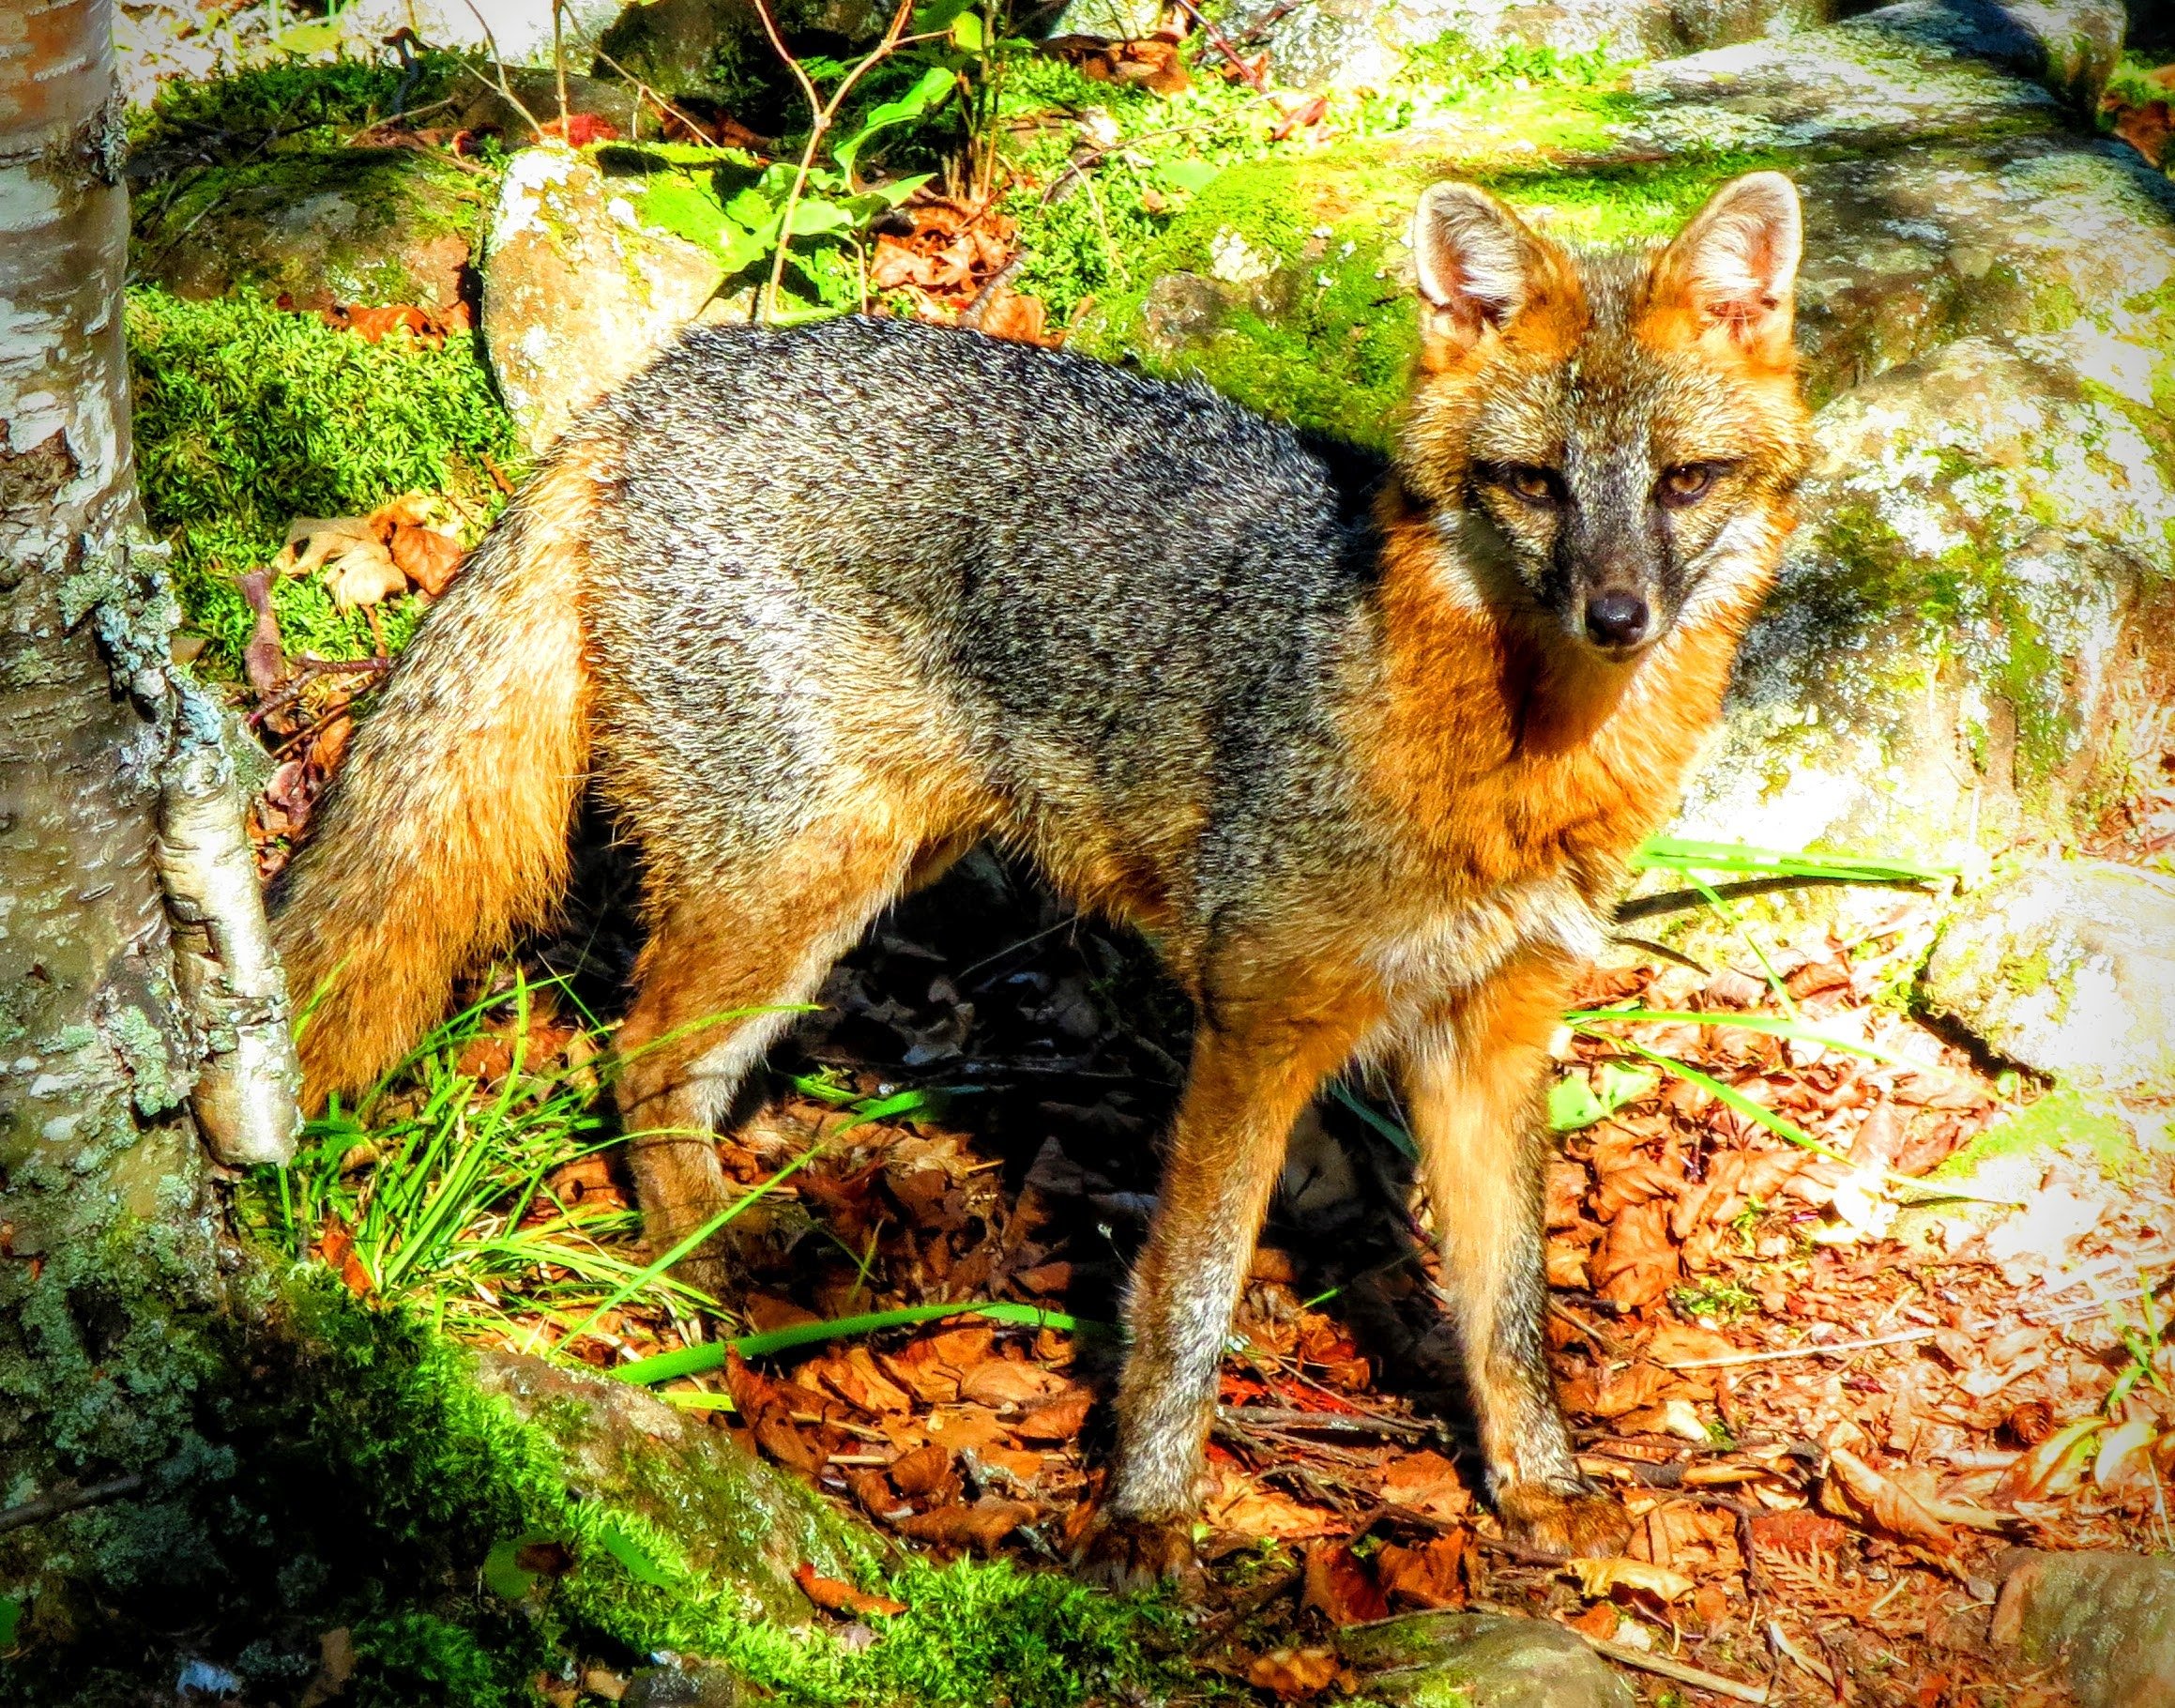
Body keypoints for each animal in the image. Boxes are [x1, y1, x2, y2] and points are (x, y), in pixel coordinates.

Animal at [272, 170, 1811, 1588]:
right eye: (1534, 482)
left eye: (1681, 481)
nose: (1618, 614)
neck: (1512, 759)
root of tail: (653, 387)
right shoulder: (1255, 1022)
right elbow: (1188, 1294)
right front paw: (1146, 1516)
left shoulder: (1492, 1031)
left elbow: (1507, 1306)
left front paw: (1540, 1484)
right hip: (800, 880)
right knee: (638, 1054)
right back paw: (716, 1269)